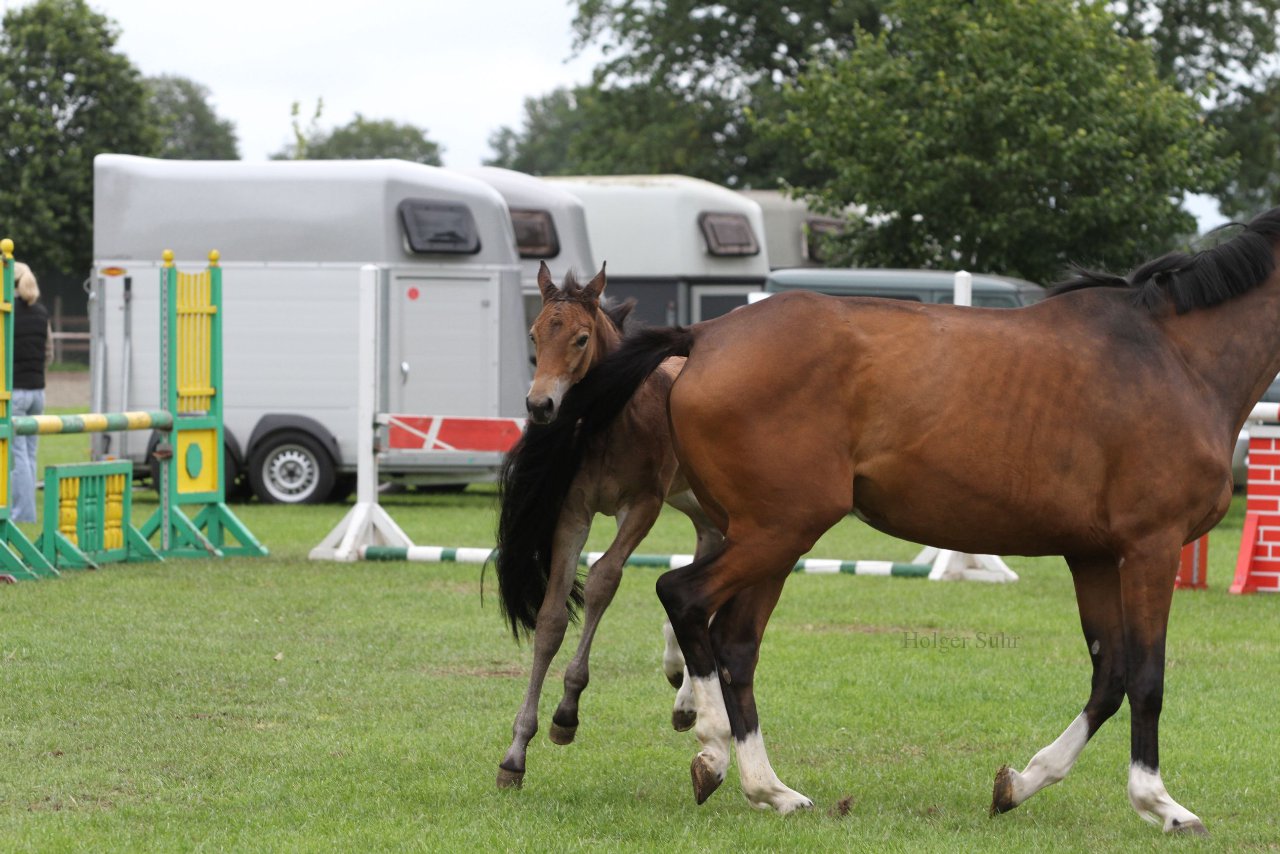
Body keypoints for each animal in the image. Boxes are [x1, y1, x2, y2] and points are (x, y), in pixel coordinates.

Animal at [488, 263, 721, 793]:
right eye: (533, 334)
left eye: (580, 338)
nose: (540, 405)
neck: (615, 421)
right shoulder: (574, 512)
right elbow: (551, 618)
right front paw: (516, 752)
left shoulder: (642, 507)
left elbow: (601, 583)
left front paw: (566, 715)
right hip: (693, 501)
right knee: (707, 553)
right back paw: (681, 686)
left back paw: (687, 698)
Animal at [535, 208, 1280, 834]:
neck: (1175, 357)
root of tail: (707, 334)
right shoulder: (1150, 549)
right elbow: (1147, 679)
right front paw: (1161, 804)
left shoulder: (1095, 555)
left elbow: (1111, 676)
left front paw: (1020, 783)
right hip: (779, 532)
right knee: (684, 597)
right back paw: (722, 754)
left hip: (760, 535)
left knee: (732, 643)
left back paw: (762, 783)